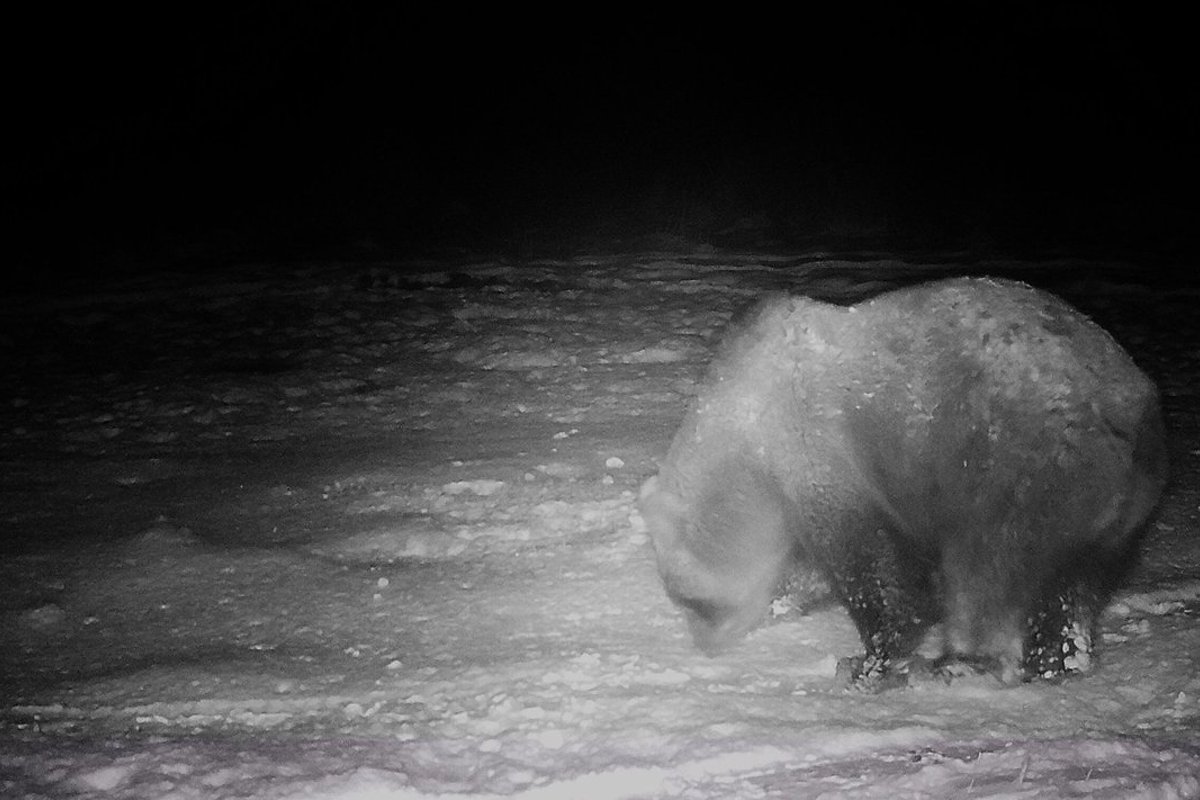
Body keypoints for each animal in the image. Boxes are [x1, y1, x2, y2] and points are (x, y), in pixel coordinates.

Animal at [643, 277, 1166, 690]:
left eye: (689, 598)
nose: (704, 645)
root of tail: (1138, 409)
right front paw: (787, 599)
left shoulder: (818, 449)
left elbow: (871, 566)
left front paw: (867, 663)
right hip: (1111, 506)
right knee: (1073, 585)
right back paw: (1058, 660)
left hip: (1026, 466)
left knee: (988, 569)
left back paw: (960, 661)